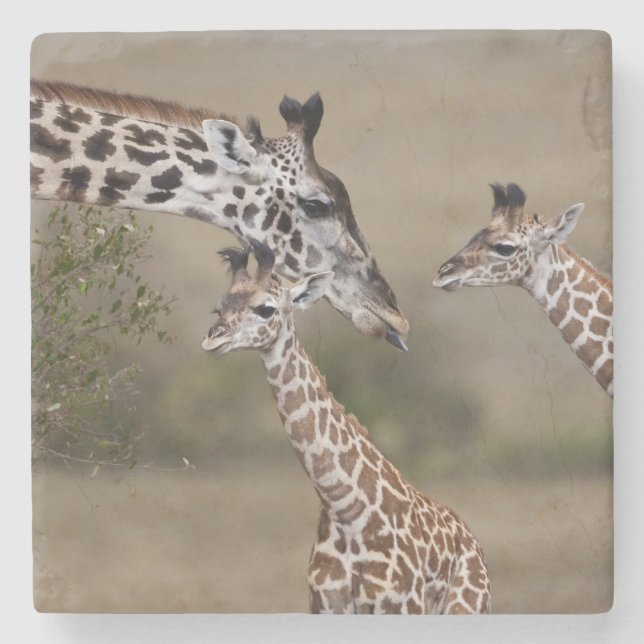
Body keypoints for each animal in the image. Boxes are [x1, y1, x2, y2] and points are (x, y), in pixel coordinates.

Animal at [201, 242, 491, 614]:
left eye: (266, 309)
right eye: (219, 308)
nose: (212, 340)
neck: (346, 508)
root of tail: (472, 542)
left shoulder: (400, 605)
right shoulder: (325, 604)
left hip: (467, 606)